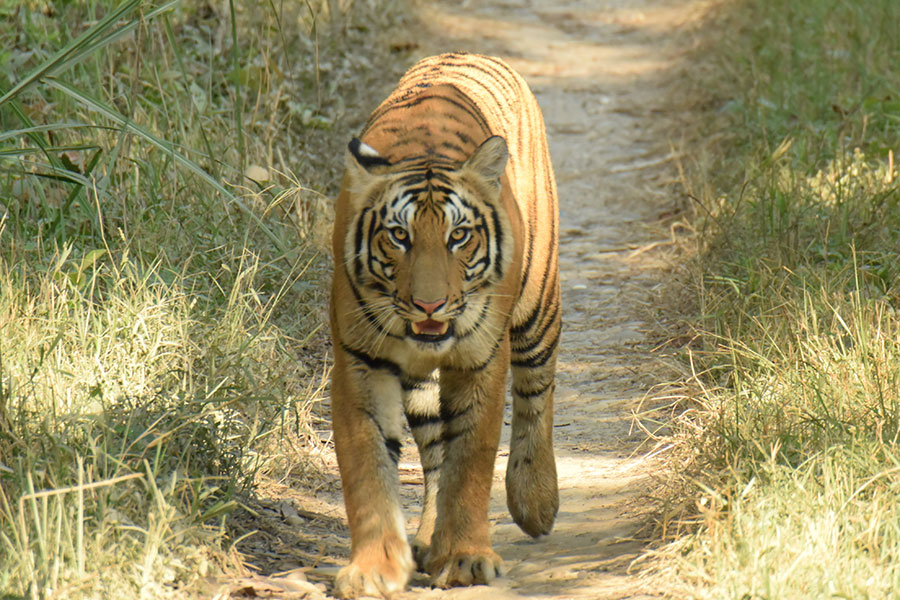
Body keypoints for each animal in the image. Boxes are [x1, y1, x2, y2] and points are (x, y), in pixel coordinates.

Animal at [329, 52, 561, 599]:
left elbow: (471, 458)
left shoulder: (481, 361)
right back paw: (429, 539)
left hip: (537, 304)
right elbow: (368, 465)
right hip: (422, 388)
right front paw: (374, 568)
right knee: (434, 450)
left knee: (537, 389)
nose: (429, 304)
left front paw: (467, 559)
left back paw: (536, 501)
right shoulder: (359, 364)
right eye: (399, 236)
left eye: (459, 236)